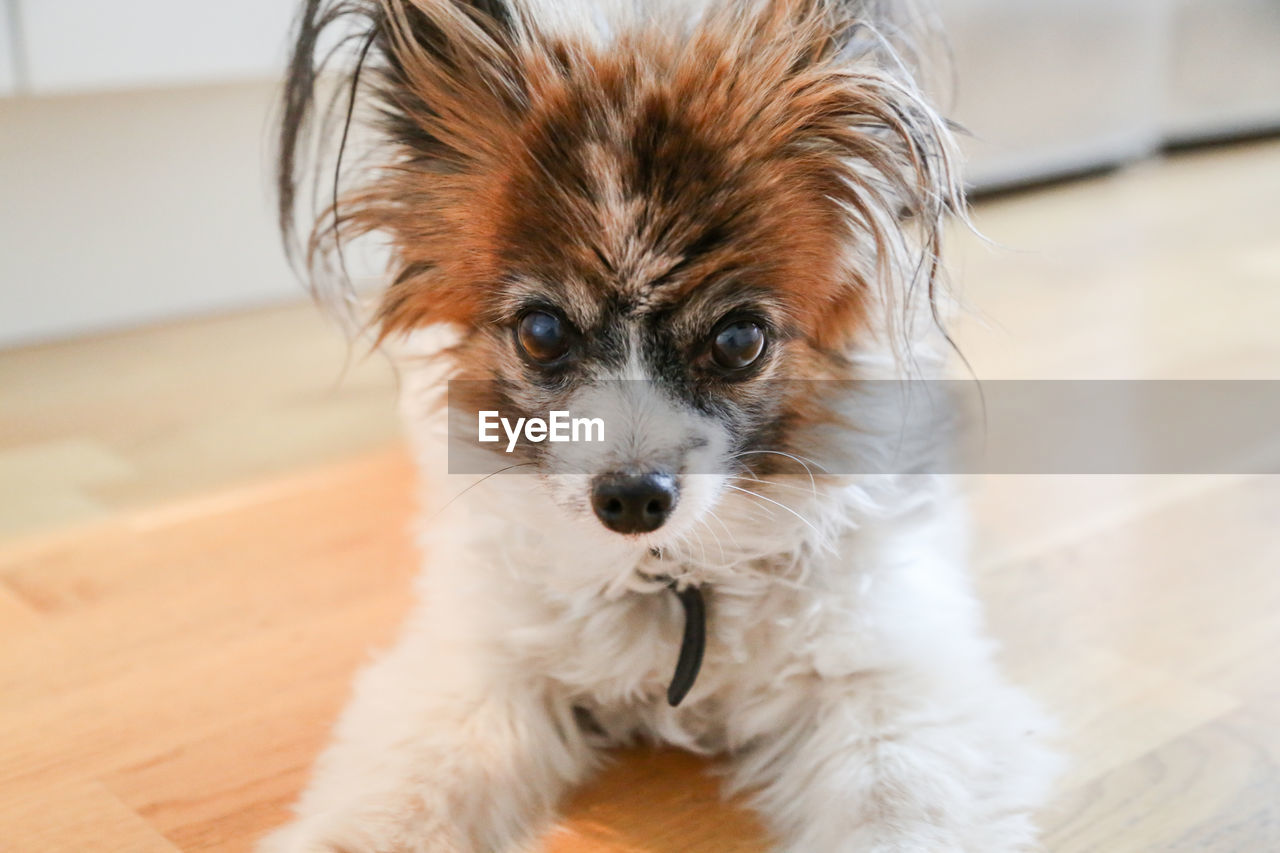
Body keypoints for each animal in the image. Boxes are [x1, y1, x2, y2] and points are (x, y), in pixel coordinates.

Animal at [264, 1, 1054, 850]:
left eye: (739, 340)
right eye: (541, 332)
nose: (634, 498)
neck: (671, 578)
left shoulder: (890, 684)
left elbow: (899, 810)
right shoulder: (479, 667)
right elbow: (400, 798)